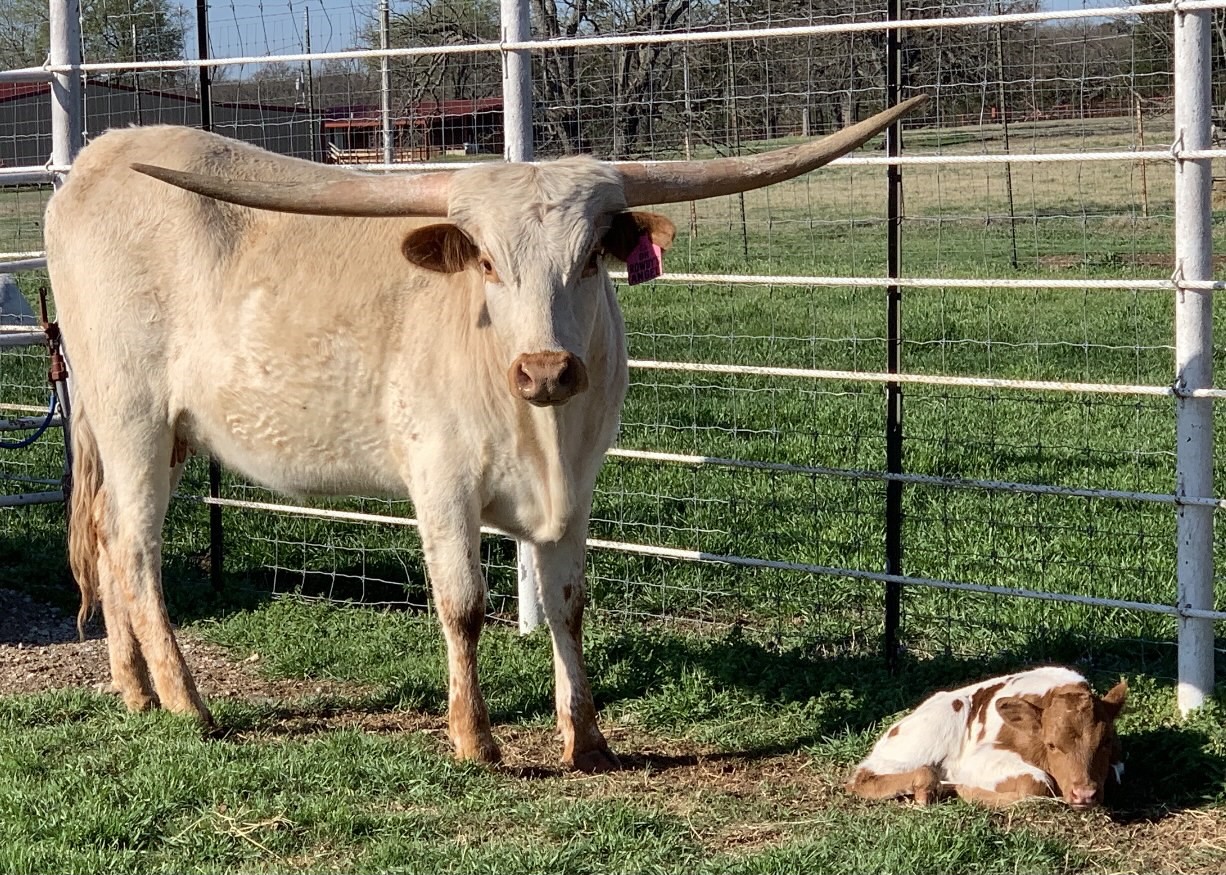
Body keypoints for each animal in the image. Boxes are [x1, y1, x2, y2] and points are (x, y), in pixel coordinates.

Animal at [43, 94, 927, 773]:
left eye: (589, 259)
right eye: (490, 264)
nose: (545, 369)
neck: (542, 432)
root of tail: (95, 162)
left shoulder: (578, 490)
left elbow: (568, 606)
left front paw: (587, 738)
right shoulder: (441, 481)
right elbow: (463, 605)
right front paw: (475, 737)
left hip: (159, 431)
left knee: (110, 537)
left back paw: (133, 689)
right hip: (131, 415)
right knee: (137, 551)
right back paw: (186, 701)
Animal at [845, 666, 1127, 808]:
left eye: (1105, 742)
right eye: (1051, 744)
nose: (1084, 794)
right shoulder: (975, 759)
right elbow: (1037, 782)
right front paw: (967, 790)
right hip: (937, 725)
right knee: (866, 777)